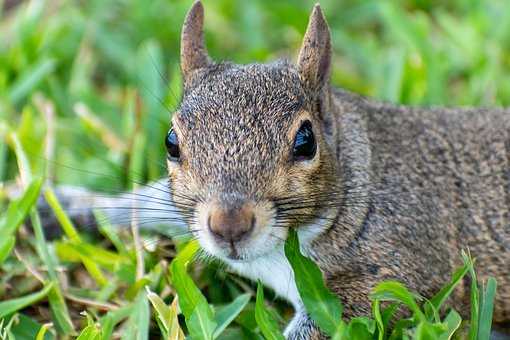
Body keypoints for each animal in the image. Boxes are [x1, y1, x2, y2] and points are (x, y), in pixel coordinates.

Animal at [30, 0, 506, 340]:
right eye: (171, 142)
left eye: (305, 141)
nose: (228, 226)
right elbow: (145, 203)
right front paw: (59, 206)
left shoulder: (392, 271)